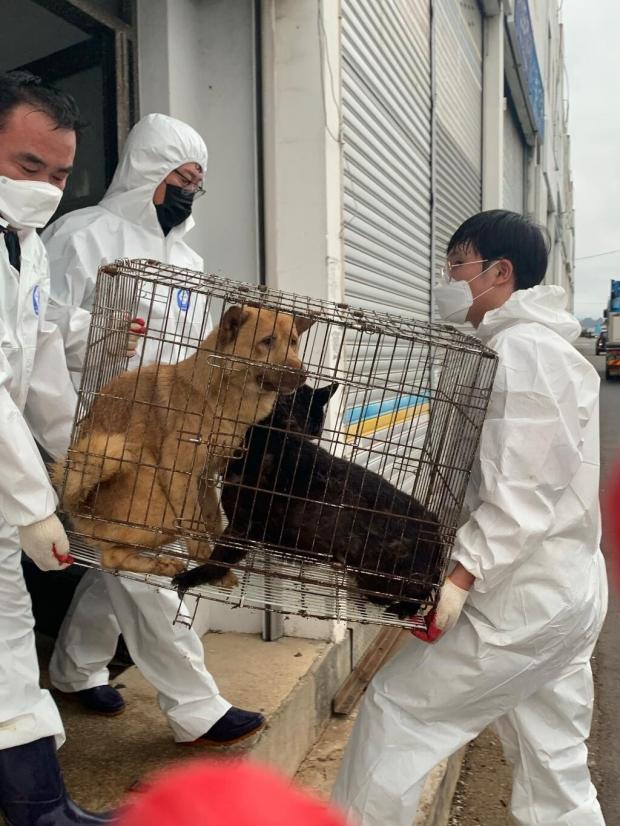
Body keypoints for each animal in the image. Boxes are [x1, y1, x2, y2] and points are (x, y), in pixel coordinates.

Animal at [53, 306, 312, 576]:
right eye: (268, 341)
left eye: (293, 342)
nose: (304, 375)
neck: (216, 400)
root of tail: (80, 507)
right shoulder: (179, 475)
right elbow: (195, 527)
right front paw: (210, 566)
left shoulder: (204, 478)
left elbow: (212, 518)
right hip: (159, 501)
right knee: (112, 557)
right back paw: (162, 565)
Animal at [172, 384, 444, 616]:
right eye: (315, 428)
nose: (317, 434)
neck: (273, 436)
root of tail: (436, 525)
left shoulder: (242, 528)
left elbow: (217, 561)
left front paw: (191, 577)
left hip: (382, 577)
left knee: (421, 592)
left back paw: (403, 609)